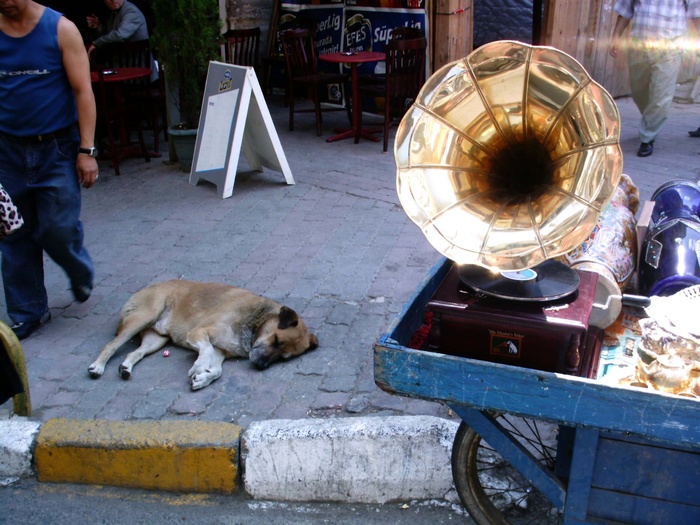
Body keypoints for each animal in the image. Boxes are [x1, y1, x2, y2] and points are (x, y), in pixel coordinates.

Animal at [86, 278, 318, 388]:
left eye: (283, 358)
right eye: (276, 339)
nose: (260, 365)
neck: (254, 323)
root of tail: (147, 287)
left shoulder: (220, 351)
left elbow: (216, 370)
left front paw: (203, 378)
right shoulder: (199, 333)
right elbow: (205, 350)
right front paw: (198, 367)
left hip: (157, 340)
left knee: (135, 353)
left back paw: (126, 367)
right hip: (142, 317)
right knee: (111, 345)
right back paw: (98, 366)